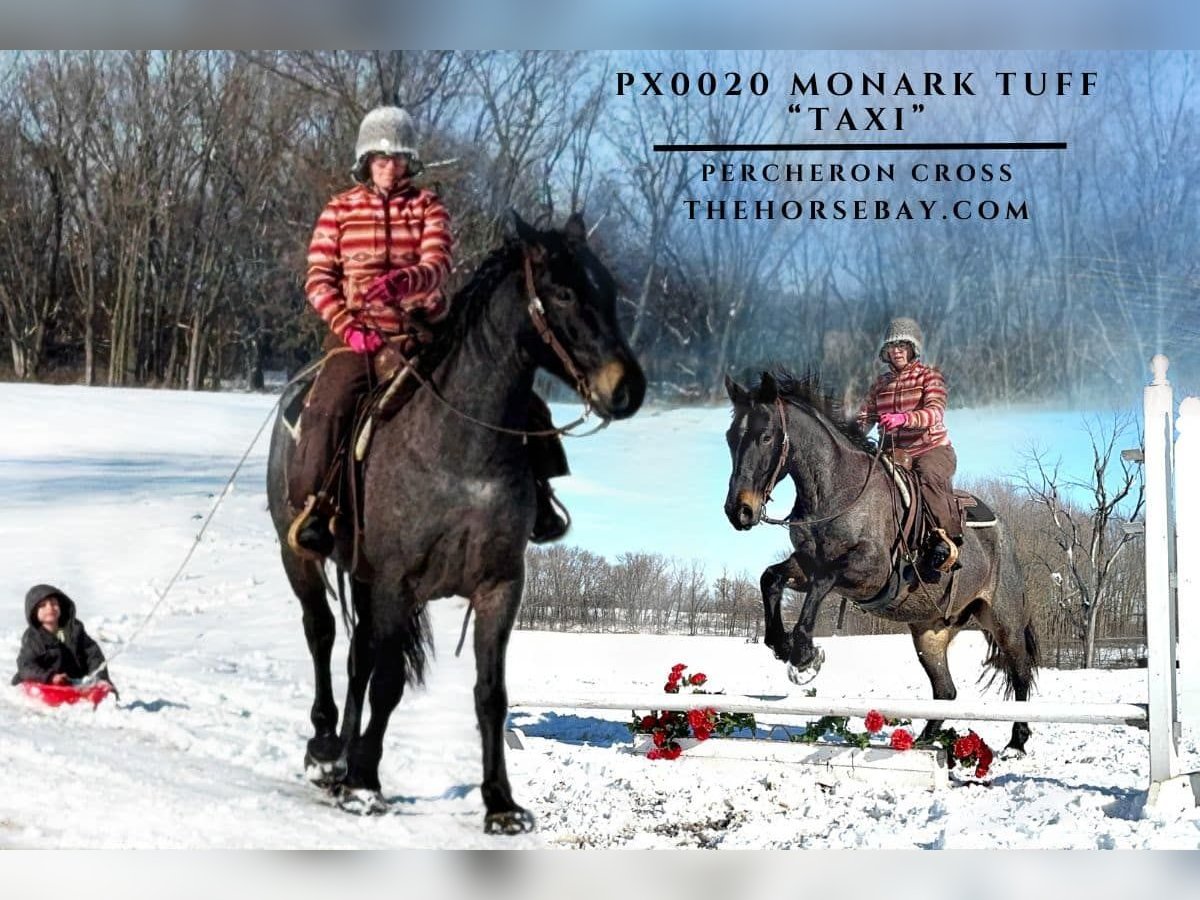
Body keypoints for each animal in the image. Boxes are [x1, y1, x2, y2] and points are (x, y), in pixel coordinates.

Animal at [266, 214, 643, 835]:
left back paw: (341, 753)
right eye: (563, 292)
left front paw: (501, 803)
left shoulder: (498, 587)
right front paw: (364, 783)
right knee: (321, 633)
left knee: (356, 658)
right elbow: (389, 682)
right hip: (298, 553)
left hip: (364, 579)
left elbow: (490, 693)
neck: (461, 447)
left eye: (609, 290)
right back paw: (326, 752)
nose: (627, 388)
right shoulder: (397, 582)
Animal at [720, 369, 1041, 758]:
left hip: (1004, 619)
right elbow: (771, 578)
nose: (739, 511)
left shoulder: (870, 573)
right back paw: (924, 741)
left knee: (1020, 673)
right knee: (946, 690)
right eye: (730, 437)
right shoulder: (805, 564)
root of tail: (1005, 535)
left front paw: (804, 656)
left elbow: (822, 583)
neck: (836, 490)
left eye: (765, 436)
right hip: (930, 632)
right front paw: (781, 645)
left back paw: (1016, 743)